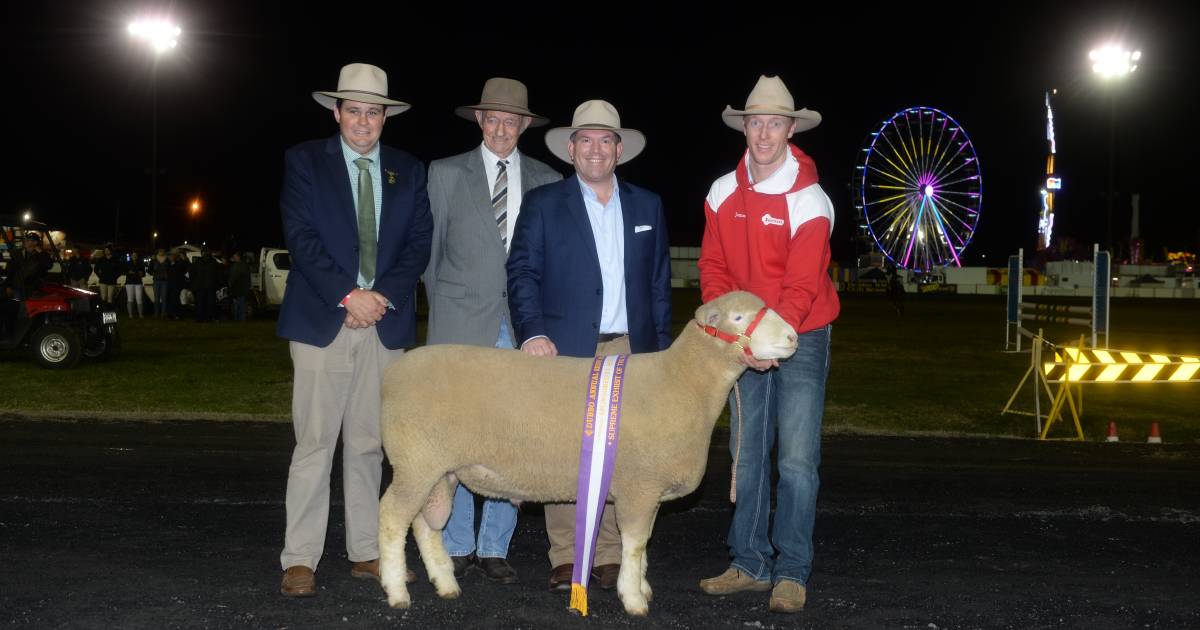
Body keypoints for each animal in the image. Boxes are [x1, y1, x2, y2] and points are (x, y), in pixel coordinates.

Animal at [379, 290, 801, 614]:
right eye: (738, 317)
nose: (793, 337)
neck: (682, 382)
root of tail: (393, 374)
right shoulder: (639, 486)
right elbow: (635, 545)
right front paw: (634, 600)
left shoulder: (645, 490)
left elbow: (642, 543)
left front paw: (640, 587)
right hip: (415, 460)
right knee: (392, 517)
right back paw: (397, 591)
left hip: (439, 470)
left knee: (423, 524)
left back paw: (445, 584)